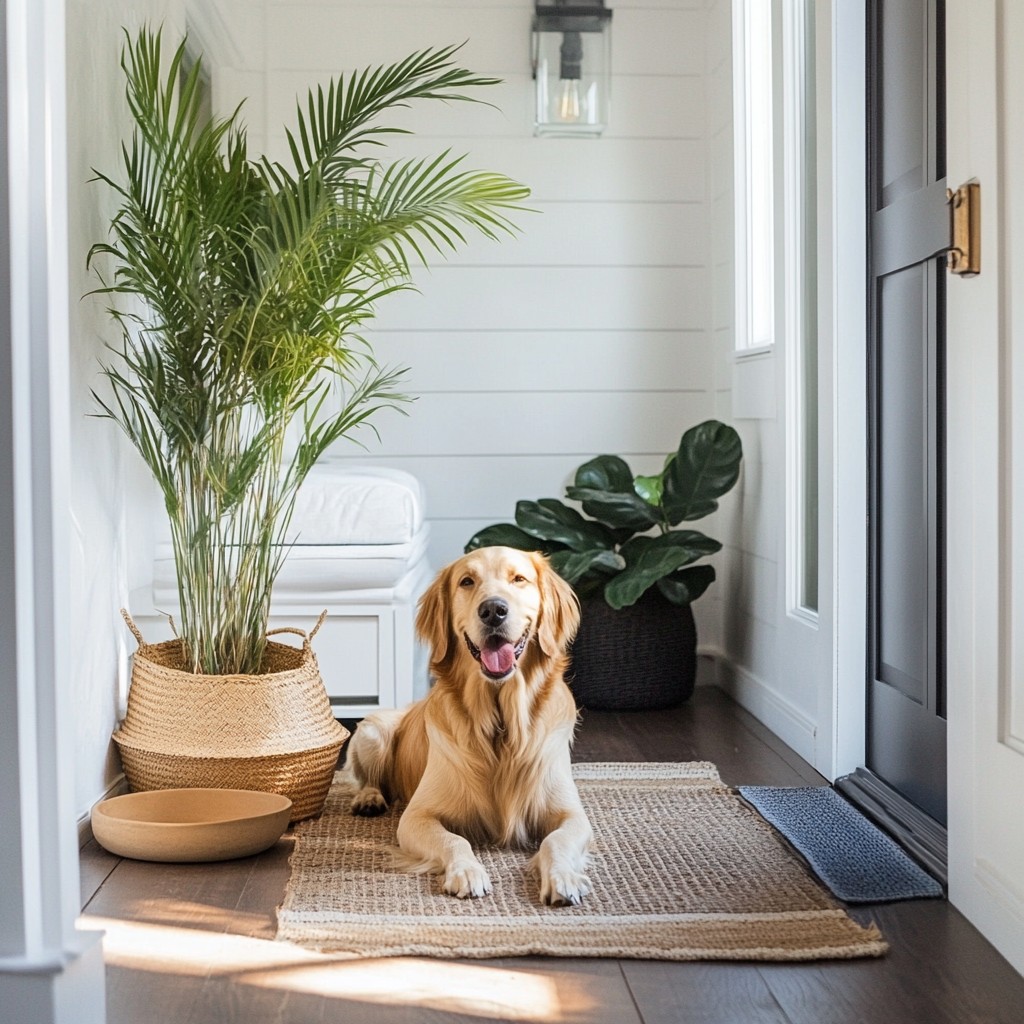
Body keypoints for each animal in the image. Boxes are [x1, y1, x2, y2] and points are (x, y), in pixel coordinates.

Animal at [348, 544, 598, 905]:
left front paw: (563, 877)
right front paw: (467, 872)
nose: (493, 610)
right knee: (368, 779)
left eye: (518, 579)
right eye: (466, 581)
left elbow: (557, 839)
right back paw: (369, 799)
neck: (501, 725)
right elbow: (456, 839)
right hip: (372, 731)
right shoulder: (417, 816)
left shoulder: (572, 814)